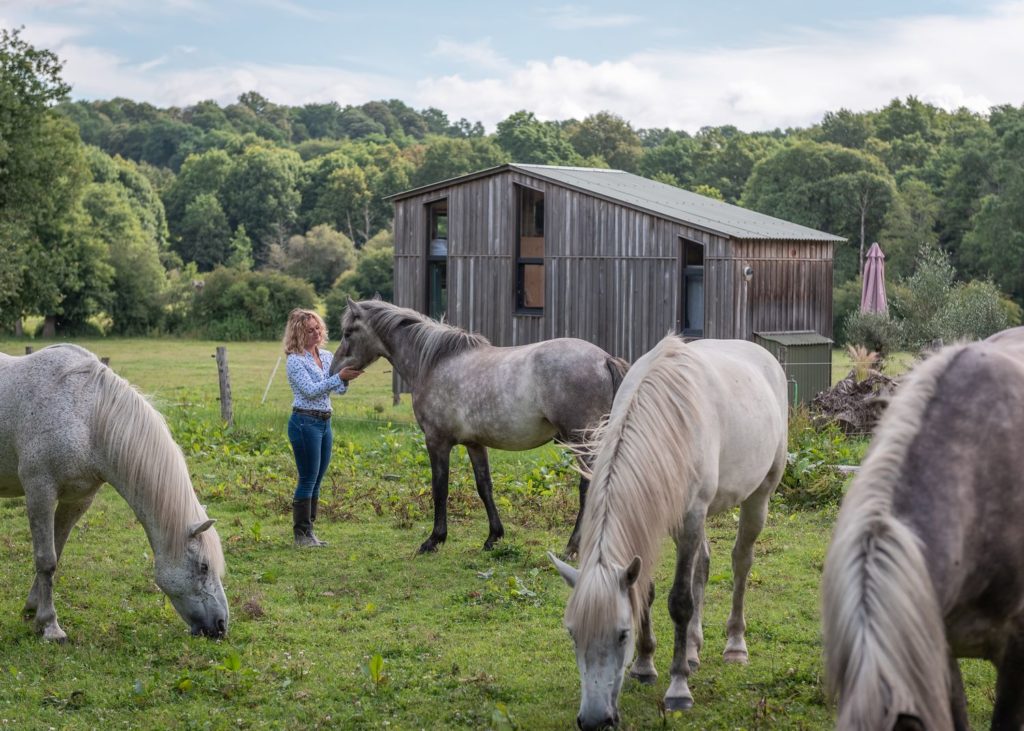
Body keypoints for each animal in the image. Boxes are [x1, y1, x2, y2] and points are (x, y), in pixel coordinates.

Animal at [0, 344, 228, 638]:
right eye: (203, 566)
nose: (221, 625)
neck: (87, 417)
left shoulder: (77, 500)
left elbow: (56, 554)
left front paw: (33, 609)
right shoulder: (40, 492)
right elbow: (45, 560)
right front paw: (50, 625)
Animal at [331, 296, 626, 552]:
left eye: (348, 332)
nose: (335, 371)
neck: (434, 362)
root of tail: (604, 359)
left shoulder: (437, 442)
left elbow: (440, 488)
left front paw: (435, 539)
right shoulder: (475, 444)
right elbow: (484, 486)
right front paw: (493, 536)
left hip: (583, 442)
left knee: (588, 486)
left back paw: (572, 547)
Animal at [548, 333, 786, 724]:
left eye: (622, 635)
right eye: (572, 633)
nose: (595, 719)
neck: (666, 419)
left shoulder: (690, 517)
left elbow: (680, 602)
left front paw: (678, 688)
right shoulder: (659, 520)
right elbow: (646, 591)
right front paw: (645, 665)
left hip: (758, 496)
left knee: (741, 562)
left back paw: (735, 645)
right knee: (703, 564)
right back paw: (692, 648)